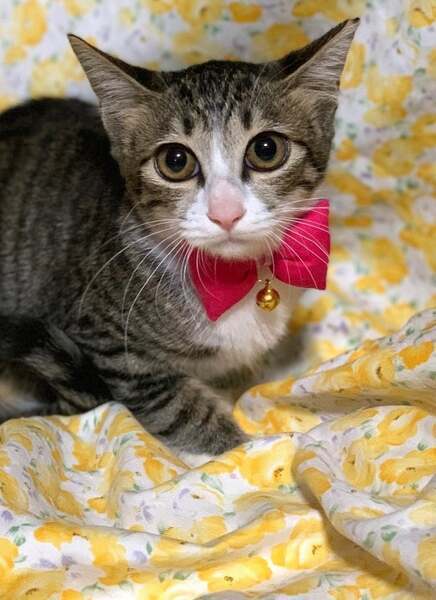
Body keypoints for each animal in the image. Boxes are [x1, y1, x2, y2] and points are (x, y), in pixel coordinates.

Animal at [0, 19, 358, 455]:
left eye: (266, 149)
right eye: (175, 161)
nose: (226, 212)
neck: (233, 281)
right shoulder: (106, 342)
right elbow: (177, 406)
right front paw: (251, 446)